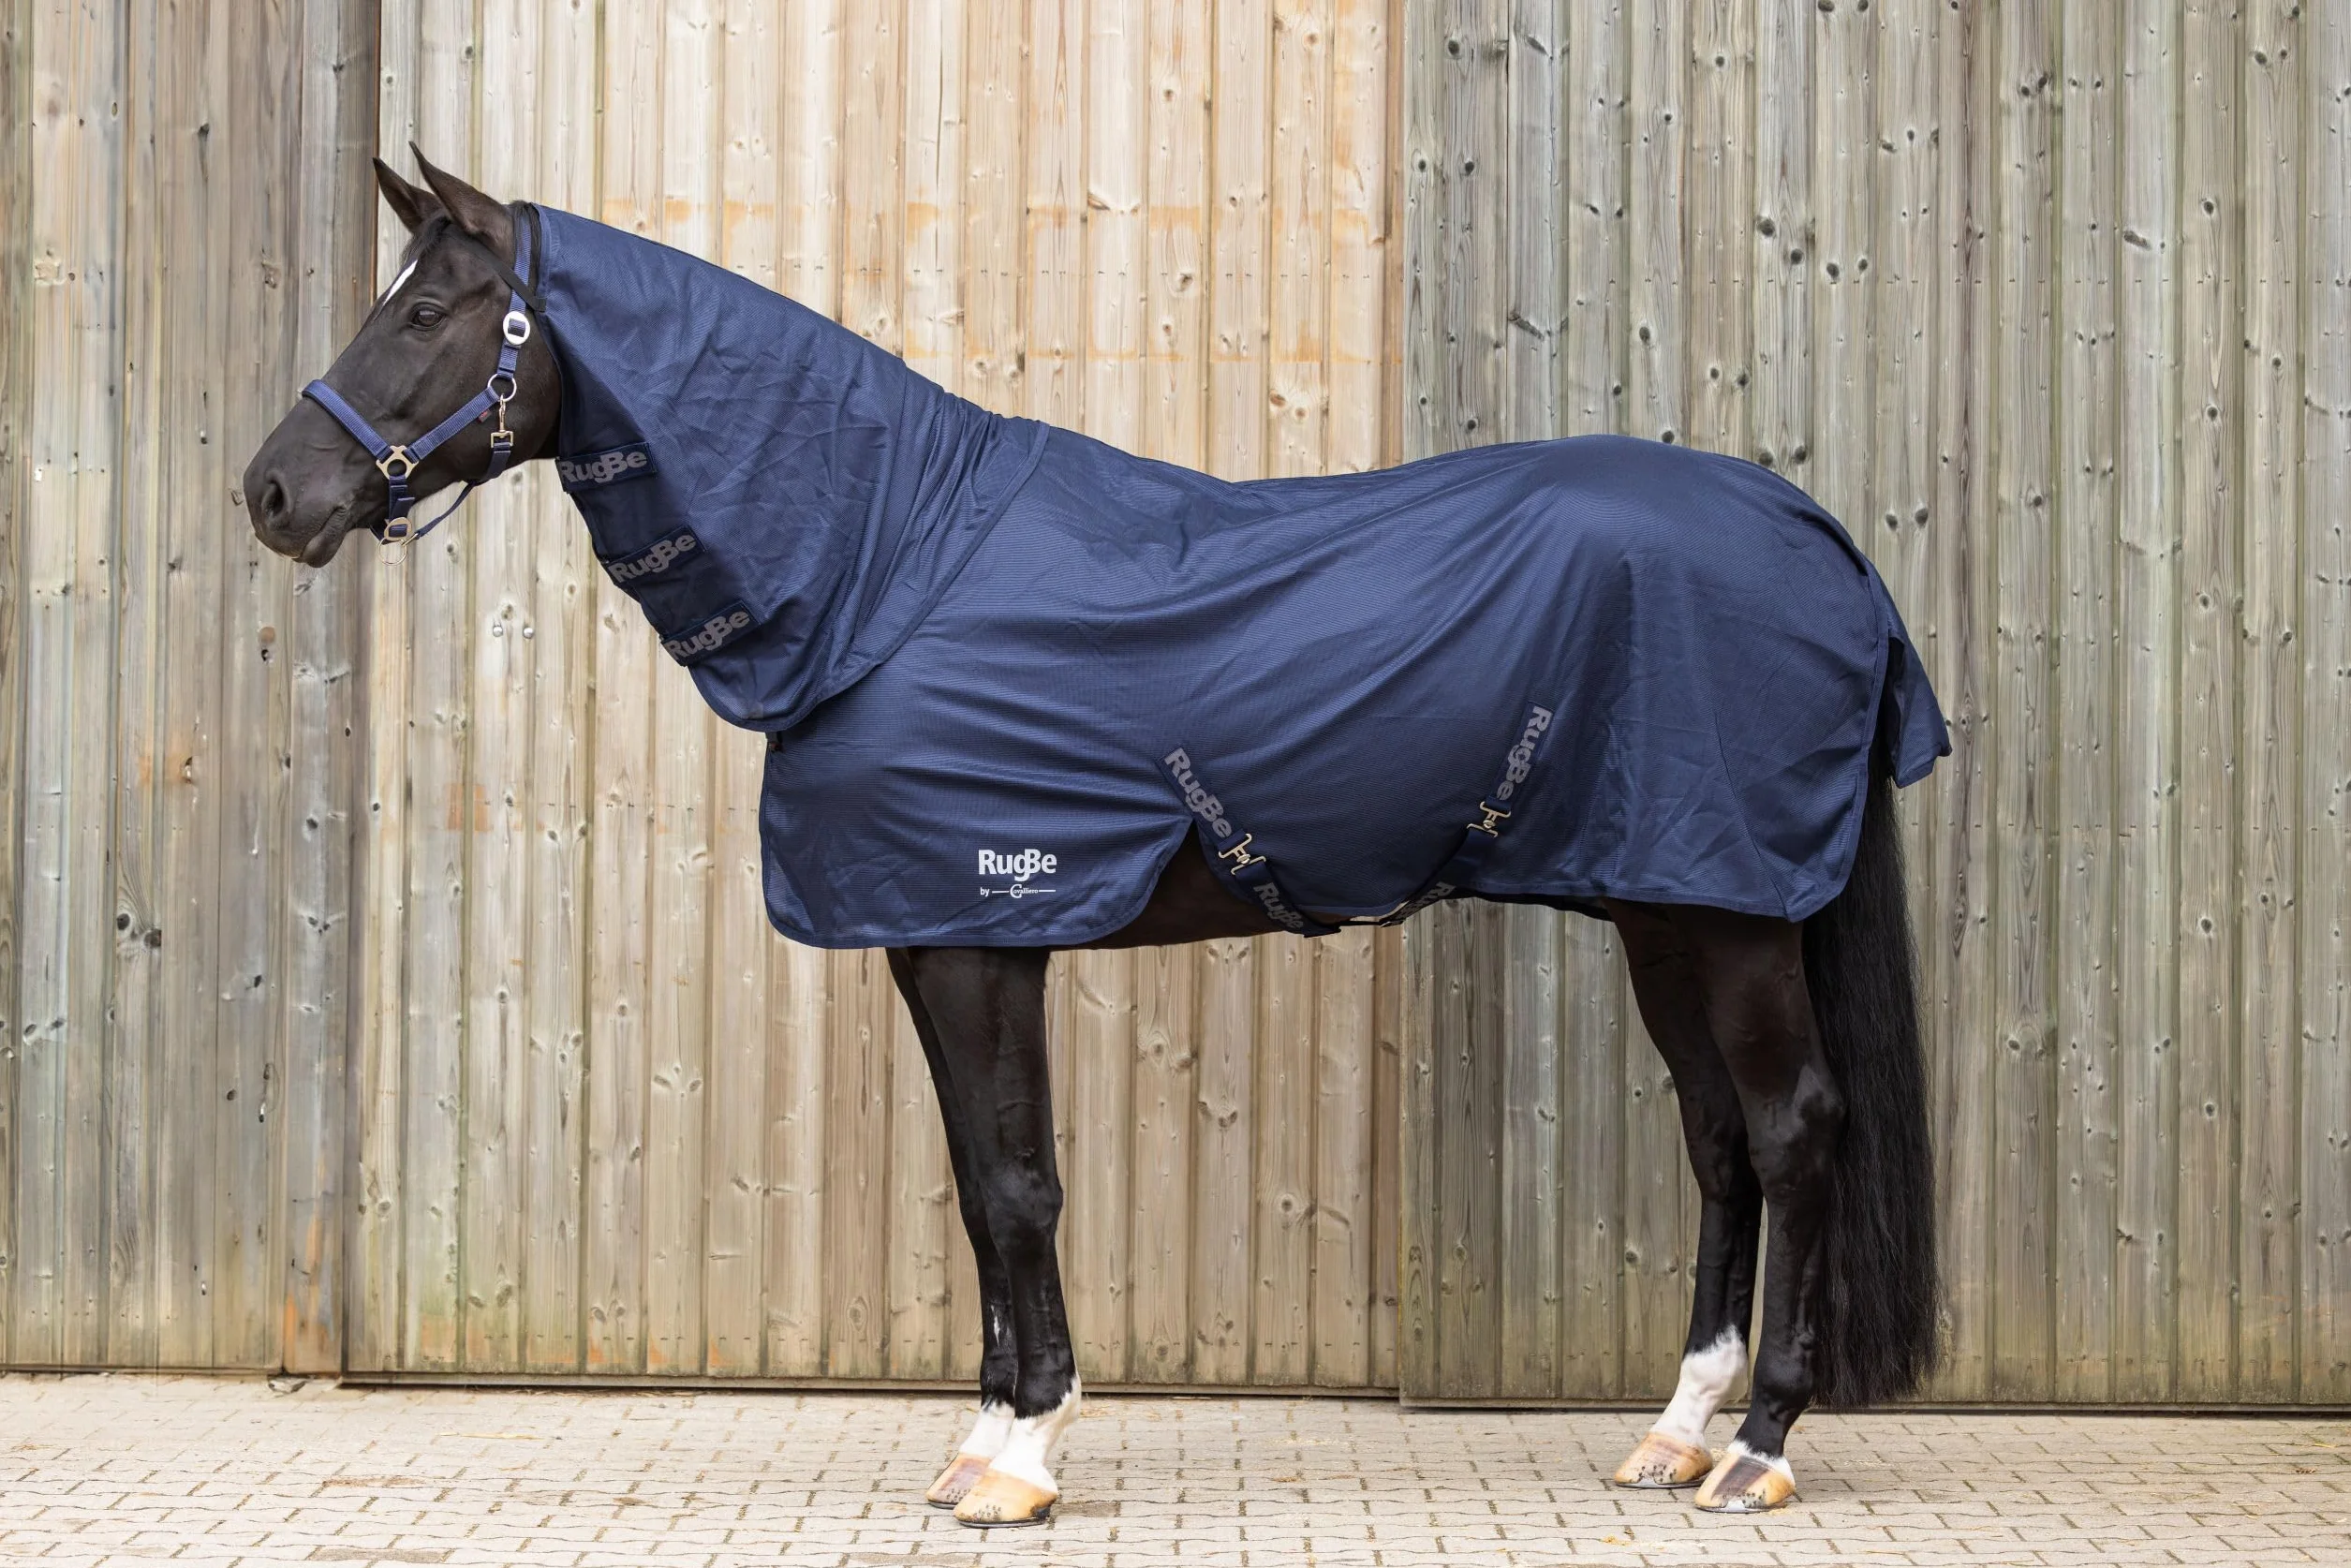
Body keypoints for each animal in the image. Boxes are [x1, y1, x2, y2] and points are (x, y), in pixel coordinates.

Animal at [243, 152, 1946, 1526]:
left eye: (423, 313)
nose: (274, 492)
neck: (888, 569)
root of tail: (1813, 535)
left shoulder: (985, 931)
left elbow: (1016, 1184)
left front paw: (1021, 1457)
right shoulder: (932, 937)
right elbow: (976, 1176)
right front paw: (986, 1432)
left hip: (1728, 915)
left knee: (1794, 1127)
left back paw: (1758, 1447)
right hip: (1671, 901)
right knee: (1719, 1137)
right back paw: (1675, 1430)